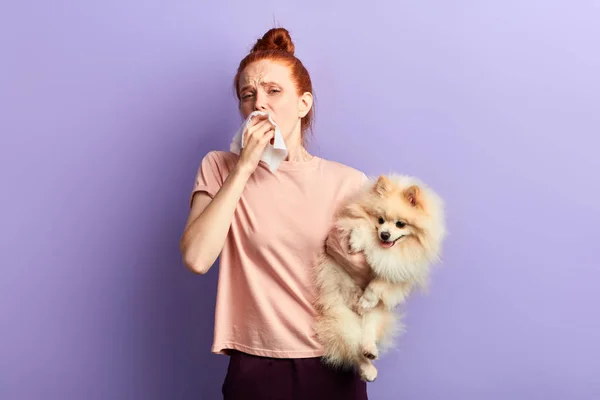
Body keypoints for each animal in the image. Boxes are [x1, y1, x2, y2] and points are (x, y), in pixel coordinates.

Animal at [314, 174, 446, 382]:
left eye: (400, 224)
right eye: (380, 219)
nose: (384, 234)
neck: (389, 250)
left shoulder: (402, 273)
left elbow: (380, 283)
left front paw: (366, 300)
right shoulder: (348, 225)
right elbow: (361, 226)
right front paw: (357, 241)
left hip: (376, 315)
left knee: (367, 335)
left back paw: (370, 351)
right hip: (340, 317)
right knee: (354, 348)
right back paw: (367, 368)